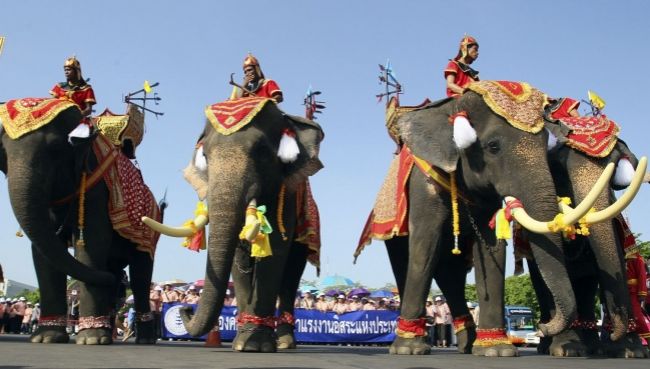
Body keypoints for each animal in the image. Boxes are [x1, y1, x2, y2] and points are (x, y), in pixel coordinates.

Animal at [0, 98, 161, 344]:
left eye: (56, 148)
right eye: (3, 154)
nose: (117, 286)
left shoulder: (96, 188)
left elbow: (92, 243)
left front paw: (92, 340)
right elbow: (44, 250)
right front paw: (46, 338)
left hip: (149, 231)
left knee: (141, 275)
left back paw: (143, 339)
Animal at [144, 99, 322, 352]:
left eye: (262, 151)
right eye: (205, 155)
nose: (185, 309)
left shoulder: (286, 193)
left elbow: (276, 248)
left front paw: (256, 345)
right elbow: (239, 255)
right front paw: (243, 344)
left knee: (291, 276)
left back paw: (286, 343)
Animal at [354, 81, 608, 356]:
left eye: (545, 146)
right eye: (493, 147)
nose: (542, 327)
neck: (452, 107)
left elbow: (492, 247)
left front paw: (496, 349)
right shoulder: (424, 184)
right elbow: (424, 245)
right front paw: (409, 350)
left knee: (450, 274)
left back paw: (467, 344)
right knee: (409, 262)